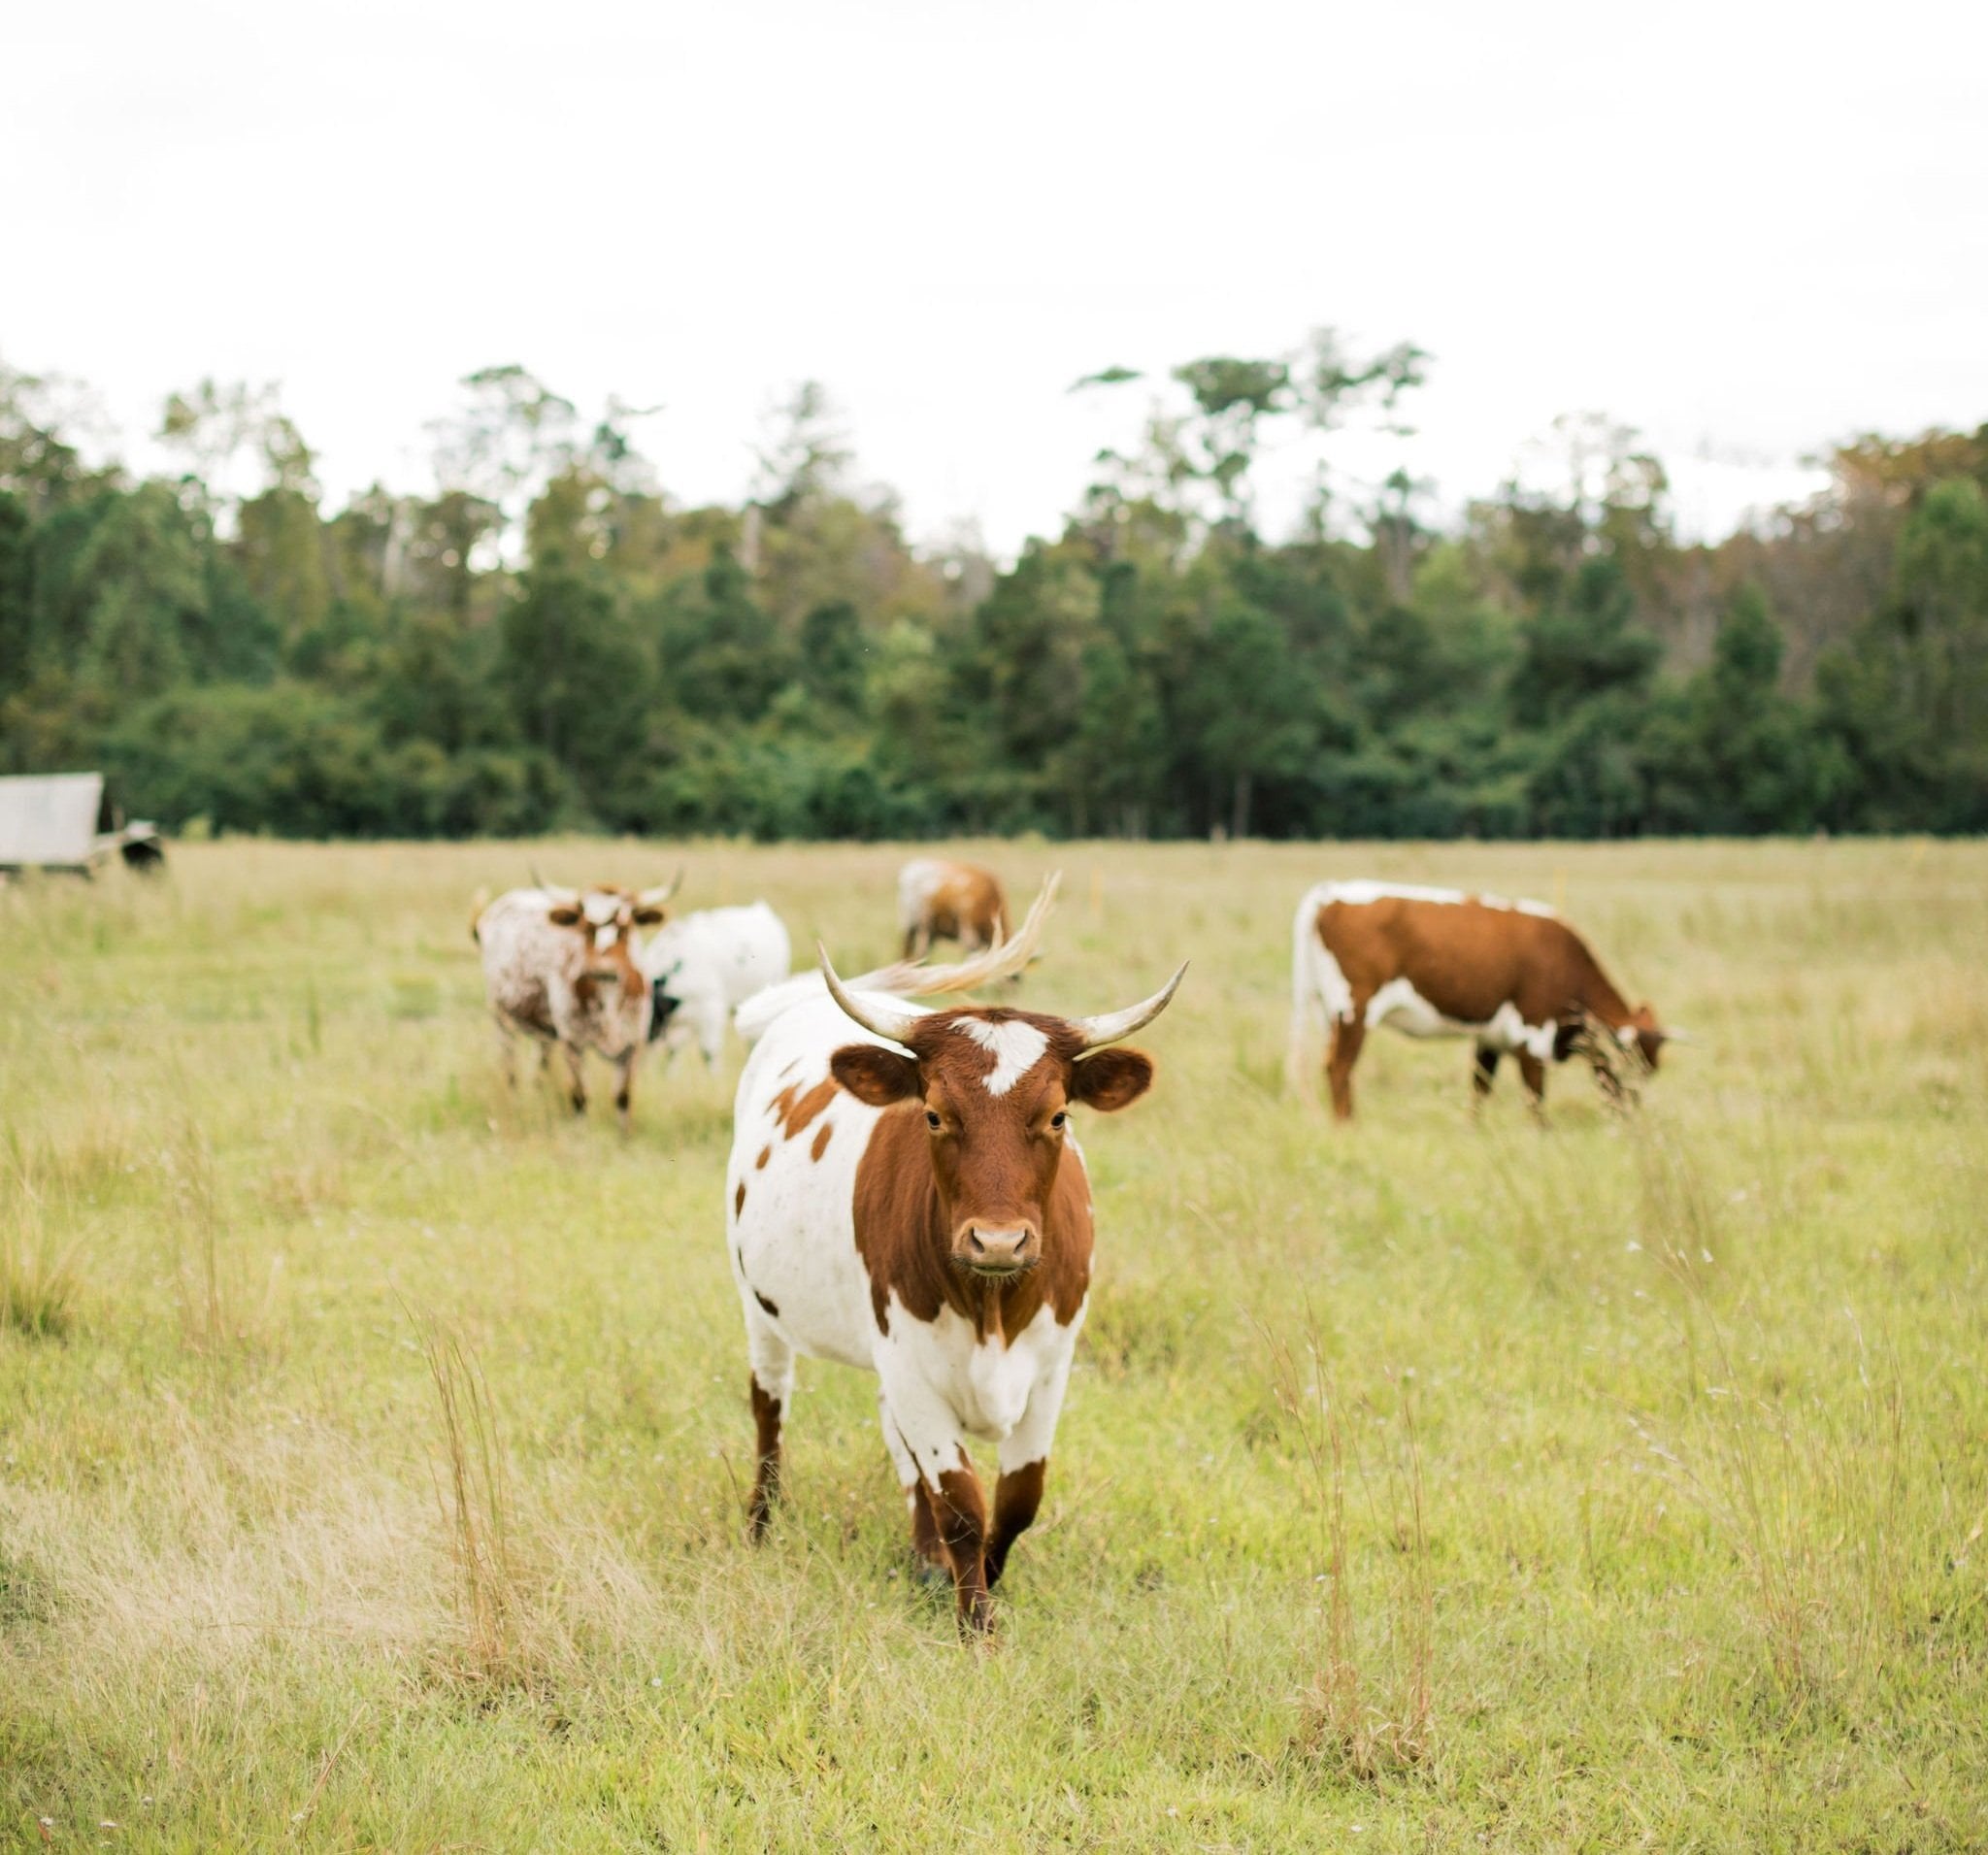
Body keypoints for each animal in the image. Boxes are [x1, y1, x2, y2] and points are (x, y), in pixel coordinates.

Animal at [473, 874, 679, 1125]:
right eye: (586, 927)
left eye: (625, 927)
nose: (603, 970)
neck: (608, 1001)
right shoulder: (573, 1042)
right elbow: (580, 1097)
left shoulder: (632, 1043)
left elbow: (623, 1098)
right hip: (501, 1019)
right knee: (510, 1070)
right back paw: (515, 1102)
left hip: (545, 1033)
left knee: (540, 1068)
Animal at [725, 883, 1184, 1632]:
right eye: (935, 1114)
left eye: (1058, 1115)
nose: (997, 1241)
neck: (991, 1304)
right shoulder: (913, 1363)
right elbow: (962, 1501)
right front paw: (978, 1624)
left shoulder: (1052, 1367)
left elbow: (1018, 1497)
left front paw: (977, 1583)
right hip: (760, 1307)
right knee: (770, 1409)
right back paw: (761, 1525)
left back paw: (923, 1556)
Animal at [1287, 879, 1681, 1120]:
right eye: (1635, 1065)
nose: (1632, 1115)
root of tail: (1330, 891)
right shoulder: (1532, 1036)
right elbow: (1535, 1098)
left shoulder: (1490, 1038)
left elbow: (1480, 1090)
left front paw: (1475, 1131)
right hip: (1354, 1011)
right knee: (1339, 1068)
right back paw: (1348, 1126)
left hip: (1331, 1014)